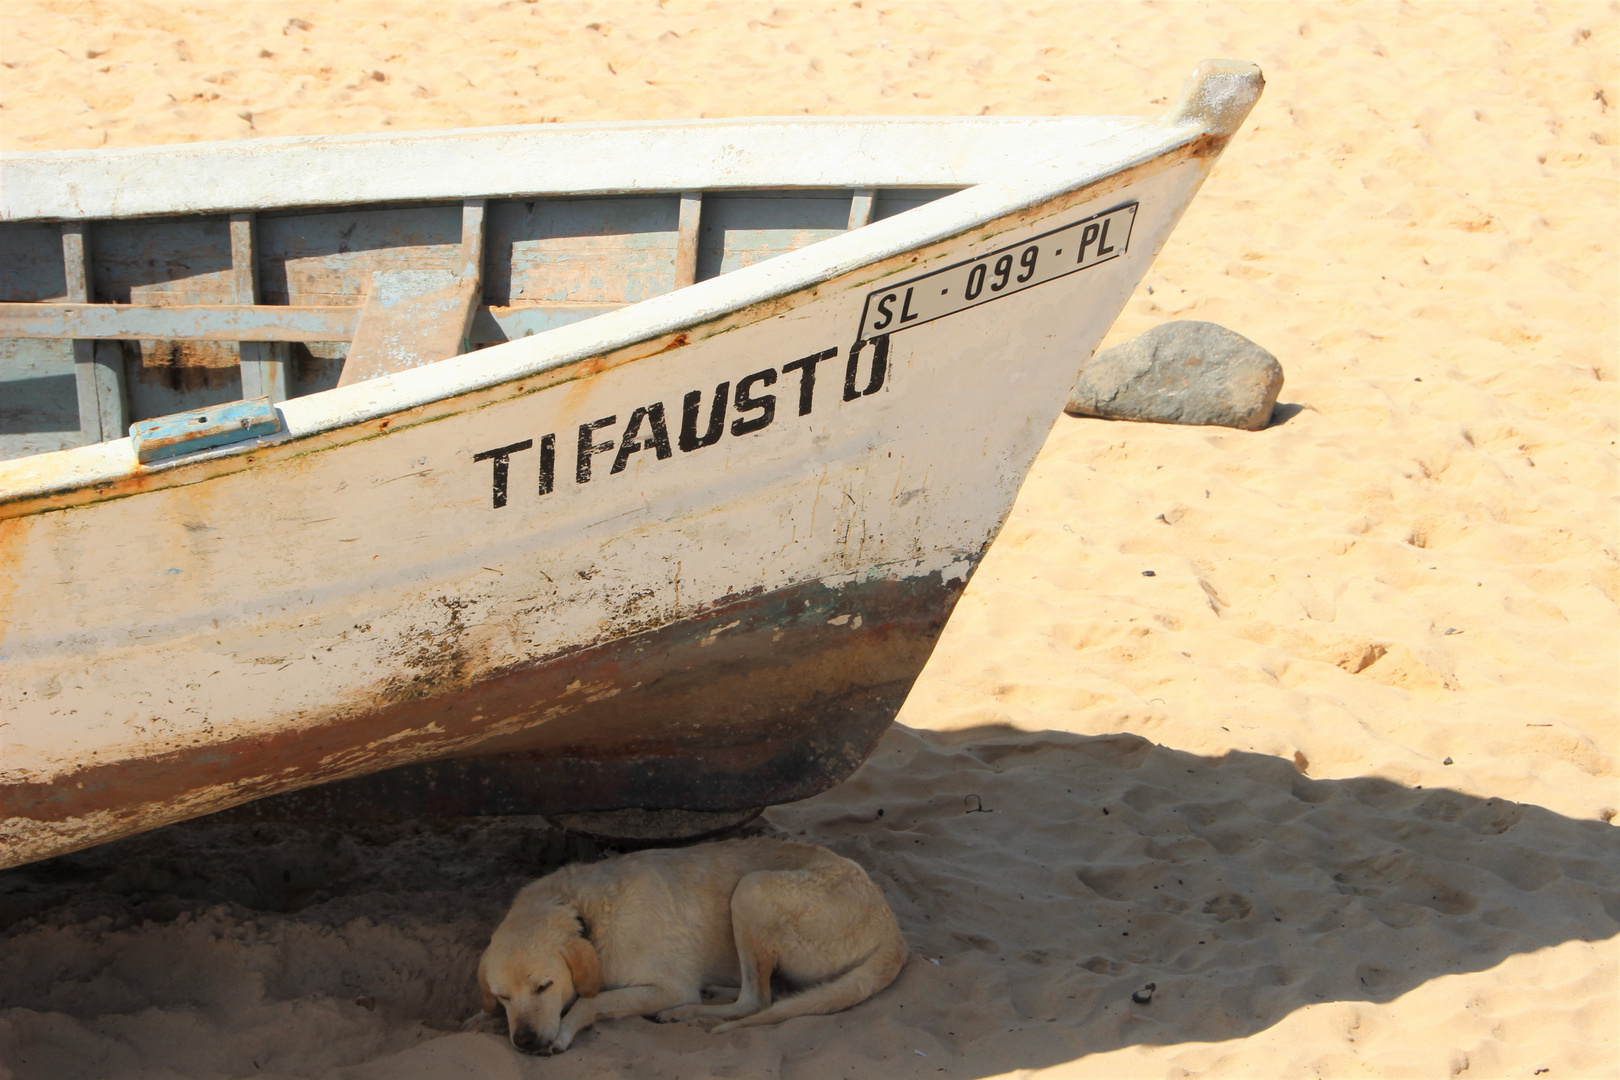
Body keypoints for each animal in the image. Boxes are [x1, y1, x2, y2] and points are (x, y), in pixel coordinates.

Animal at [476, 835, 913, 1055]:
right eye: (503, 996)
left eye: (544, 986)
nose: (524, 1043)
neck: (584, 914)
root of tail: (892, 927)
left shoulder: (669, 986)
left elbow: (592, 1001)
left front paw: (565, 1031)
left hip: (752, 890)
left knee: (757, 1000)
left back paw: (689, 1014)